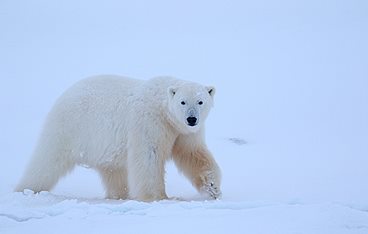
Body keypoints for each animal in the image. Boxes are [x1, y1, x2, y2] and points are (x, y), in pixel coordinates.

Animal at [15, 75, 221, 201]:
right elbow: (148, 156)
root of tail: (64, 95)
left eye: (200, 101)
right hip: (69, 127)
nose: (191, 119)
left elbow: (193, 154)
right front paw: (158, 197)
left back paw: (120, 195)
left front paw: (212, 187)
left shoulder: (183, 132)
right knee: (46, 161)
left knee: (113, 172)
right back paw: (25, 189)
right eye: (183, 102)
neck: (164, 110)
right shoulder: (149, 121)